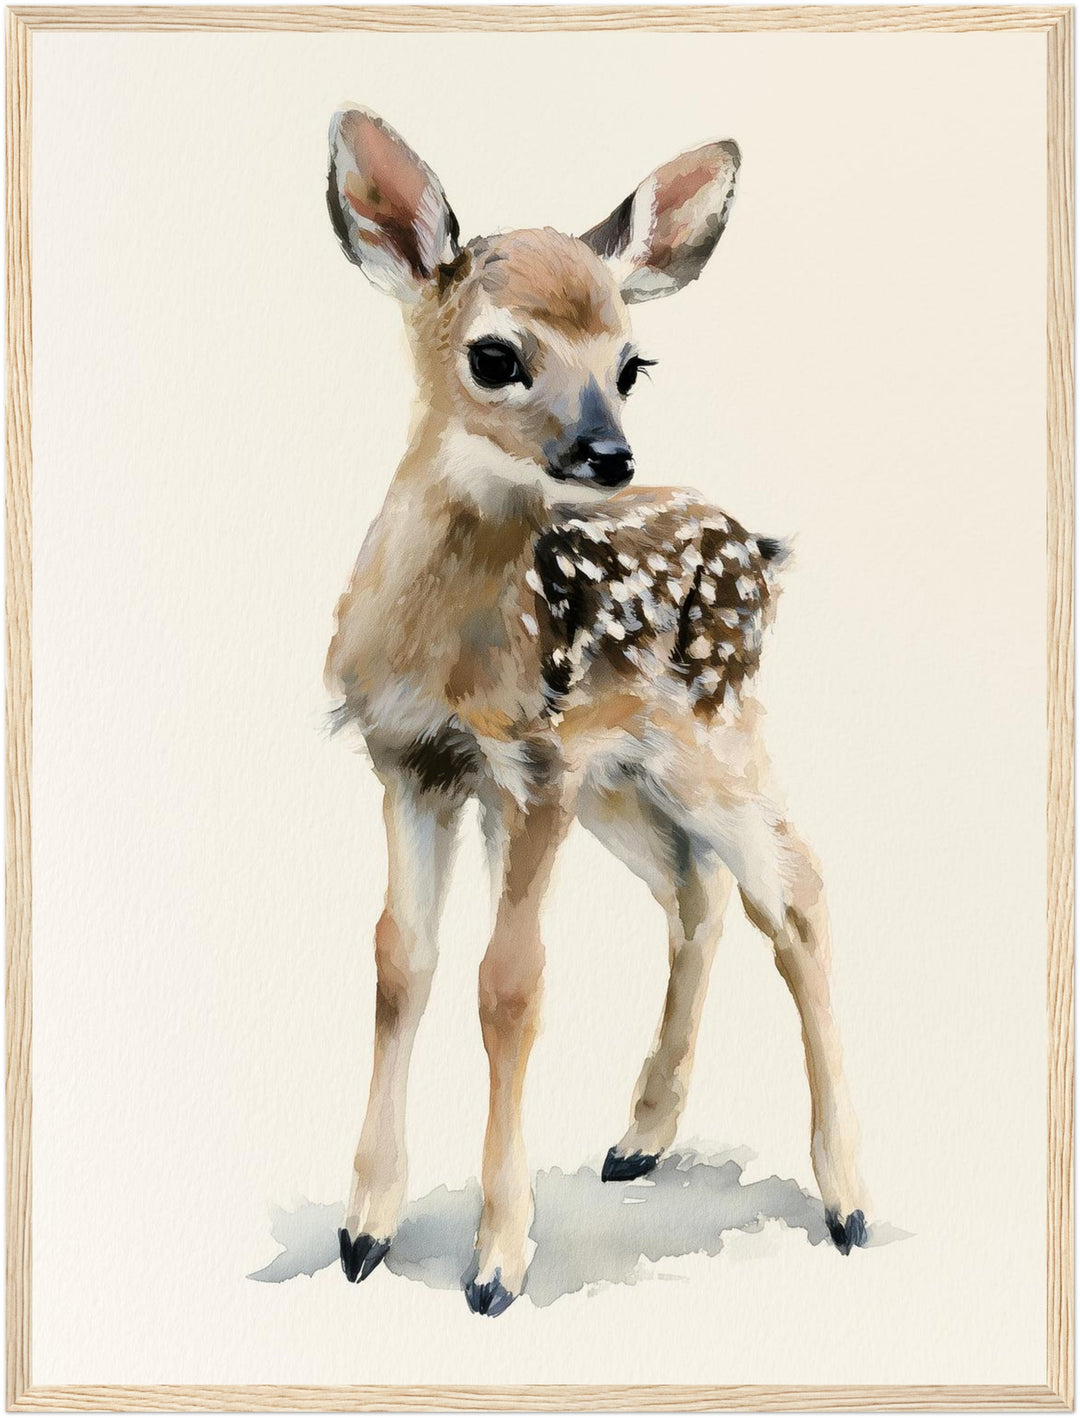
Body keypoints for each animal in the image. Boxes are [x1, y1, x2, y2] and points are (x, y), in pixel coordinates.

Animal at [324, 106, 869, 1317]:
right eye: (495, 354)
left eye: (632, 362)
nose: (608, 453)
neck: (447, 649)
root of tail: (757, 548)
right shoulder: (410, 763)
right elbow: (398, 964)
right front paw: (363, 1230)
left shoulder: (529, 770)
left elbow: (509, 985)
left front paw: (497, 1262)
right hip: (622, 779)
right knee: (694, 892)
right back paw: (640, 1136)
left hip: (710, 739)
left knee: (796, 893)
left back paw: (849, 1201)